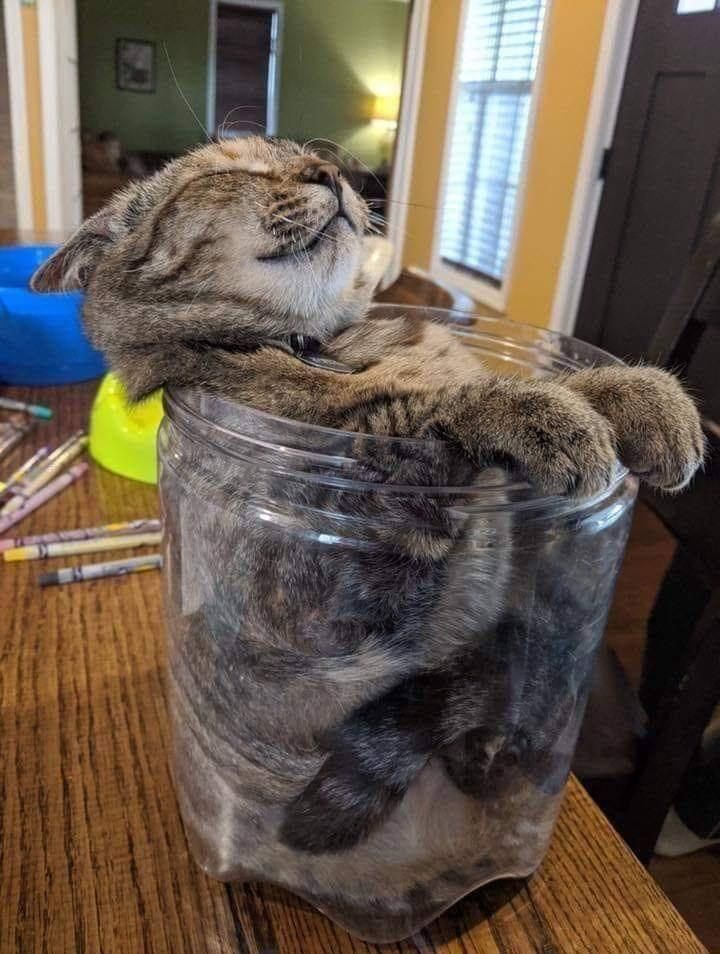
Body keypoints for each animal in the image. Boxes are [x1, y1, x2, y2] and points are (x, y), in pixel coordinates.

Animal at [32, 134, 704, 936]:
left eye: (299, 155)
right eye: (231, 169)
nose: (332, 172)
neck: (321, 344)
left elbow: (540, 382)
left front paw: (638, 393)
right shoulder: (331, 595)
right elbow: (421, 411)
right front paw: (531, 411)